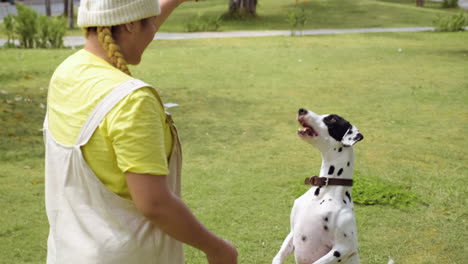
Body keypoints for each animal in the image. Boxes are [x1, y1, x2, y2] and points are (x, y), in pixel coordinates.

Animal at [272, 108, 364, 264]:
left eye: (332, 119)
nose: (301, 110)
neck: (323, 191)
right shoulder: (292, 233)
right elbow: (278, 256)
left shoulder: (343, 248)